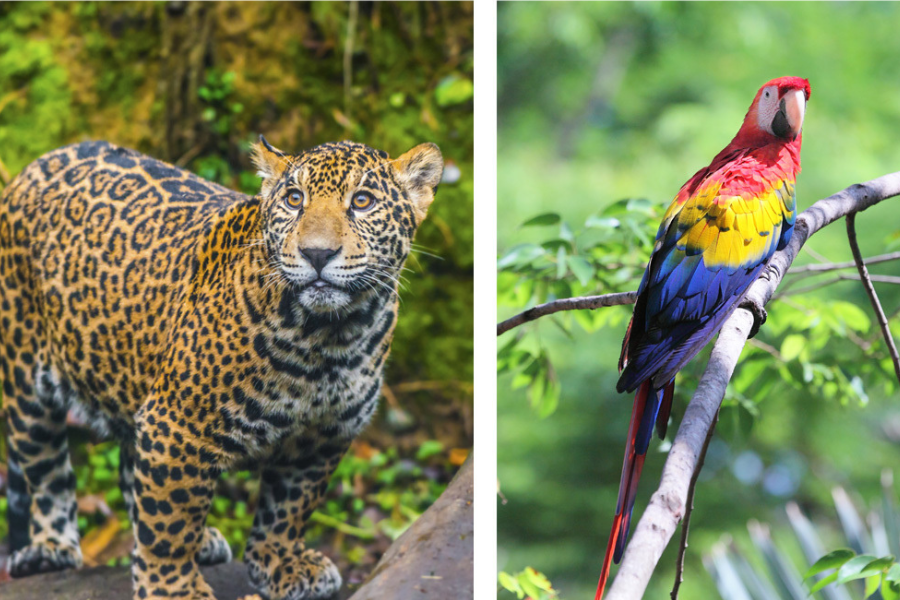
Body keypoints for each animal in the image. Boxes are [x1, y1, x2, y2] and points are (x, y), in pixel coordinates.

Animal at [0, 135, 443, 599]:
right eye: (294, 199)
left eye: (362, 201)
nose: (317, 253)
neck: (326, 342)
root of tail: (41, 160)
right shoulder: (175, 426)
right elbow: (170, 523)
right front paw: (171, 588)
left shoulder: (324, 435)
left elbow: (289, 507)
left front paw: (281, 563)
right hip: (27, 381)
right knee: (45, 470)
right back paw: (51, 548)